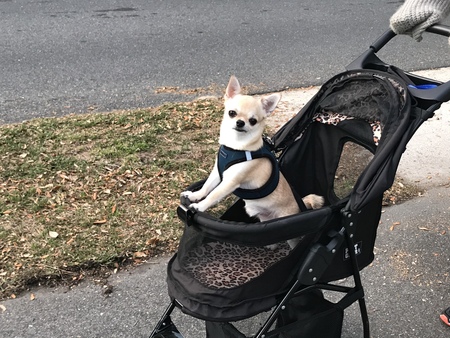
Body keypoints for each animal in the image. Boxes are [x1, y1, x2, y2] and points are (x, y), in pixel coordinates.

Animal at [180, 75, 324, 247]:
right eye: (232, 113)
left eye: (253, 121)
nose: (240, 122)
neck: (236, 146)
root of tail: (299, 206)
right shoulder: (217, 173)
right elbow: (207, 187)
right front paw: (195, 196)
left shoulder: (230, 182)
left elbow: (213, 194)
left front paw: (200, 206)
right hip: (266, 222)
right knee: (272, 238)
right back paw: (269, 245)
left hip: (288, 230)